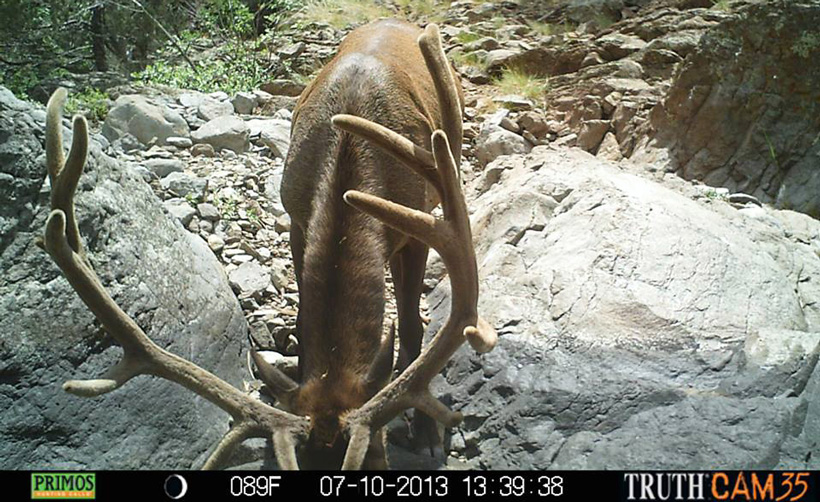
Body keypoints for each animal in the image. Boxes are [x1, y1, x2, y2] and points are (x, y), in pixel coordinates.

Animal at [41, 20, 496, 470]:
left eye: (375, 460)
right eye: (291, 465)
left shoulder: (417, 225)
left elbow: (414, 328)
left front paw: (426, 435)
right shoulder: (298, 219)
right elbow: (302, 318)